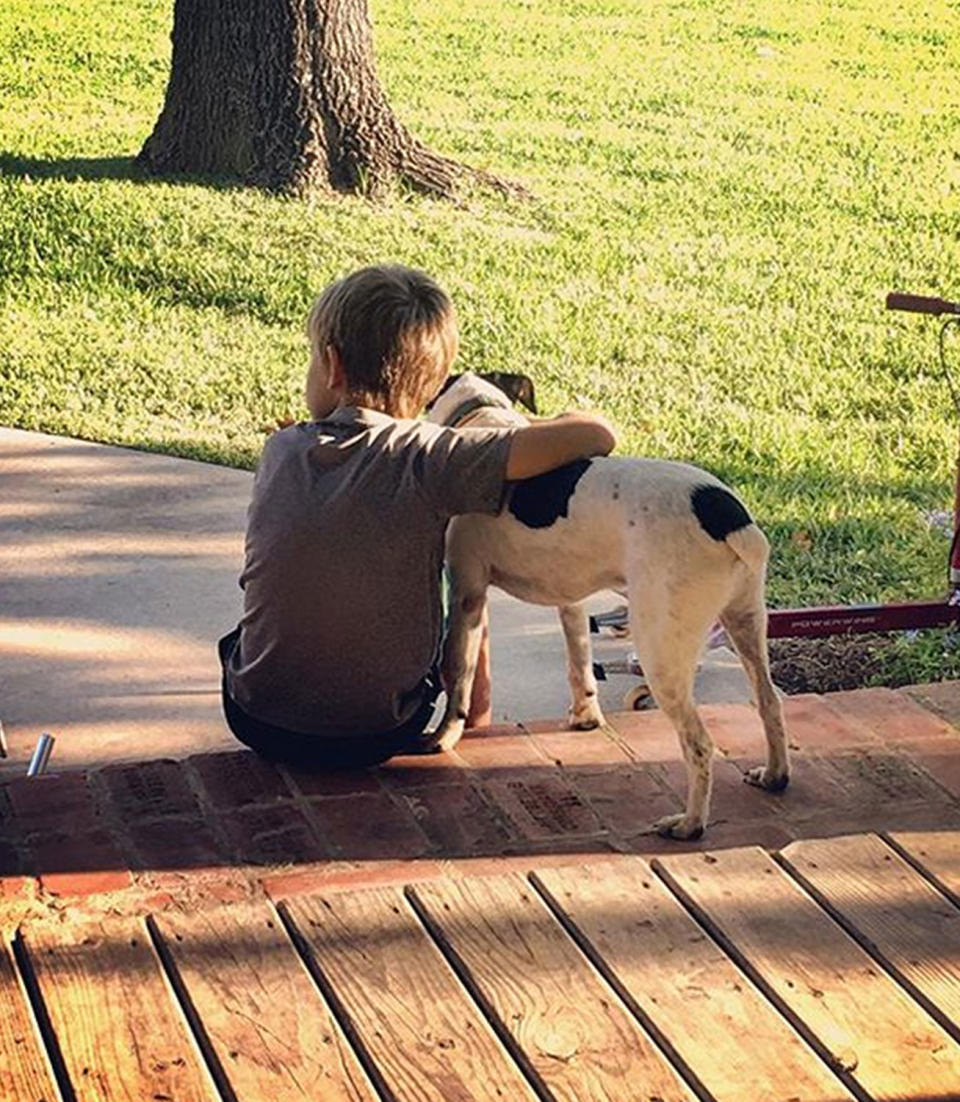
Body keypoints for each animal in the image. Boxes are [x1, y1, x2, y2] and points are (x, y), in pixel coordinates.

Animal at [427, 374, 789, 837]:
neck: (481, 416)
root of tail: (729, 518)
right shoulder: (570, 598)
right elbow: (579, 659)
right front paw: (585, 715)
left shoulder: (466, 591)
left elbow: (458, 671)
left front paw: (443, 737)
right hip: (746, 624)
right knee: (769, 702)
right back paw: (775, 775)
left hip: (660, 652)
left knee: (699, 744)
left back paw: (690, 823)